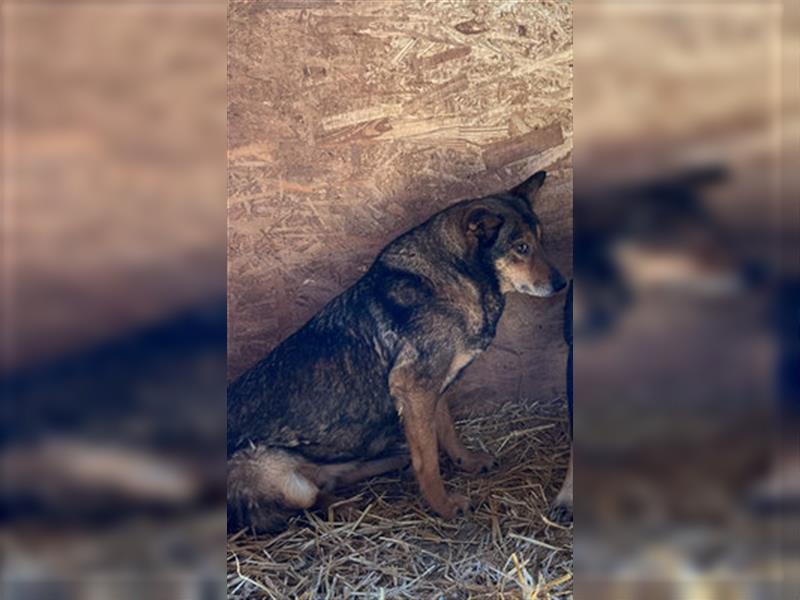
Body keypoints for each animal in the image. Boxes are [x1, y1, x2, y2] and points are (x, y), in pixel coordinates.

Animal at [227, 171, 568, 532]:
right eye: (521, 248)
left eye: (541, 242)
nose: (562, 284)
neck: (458, 274)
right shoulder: (415, 389)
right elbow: (428, 460)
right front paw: (444, 506)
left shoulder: (435, 388)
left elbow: (447, 432)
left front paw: (467, 461)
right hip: (274, 471)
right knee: (315, 495)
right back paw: (346, 507)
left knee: (335, 477)